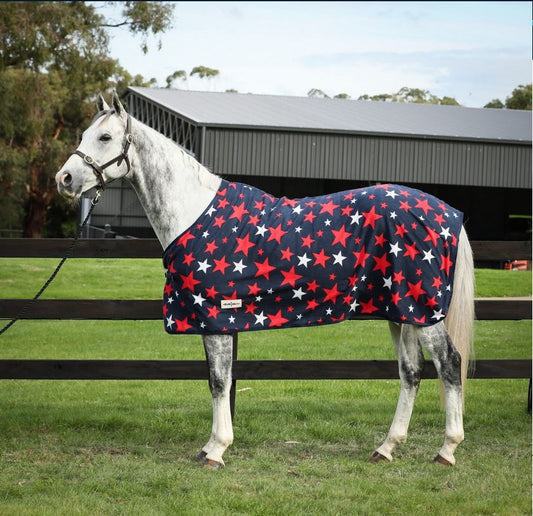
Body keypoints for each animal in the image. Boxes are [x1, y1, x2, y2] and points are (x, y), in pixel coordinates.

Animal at [57, 90, 474, 470]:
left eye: (105, 137)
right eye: (84, 134)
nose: (64, 178)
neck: (196, 212)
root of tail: (446, 213)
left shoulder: (217, 316)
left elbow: (219, 382)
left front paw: (217, 450)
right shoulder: (215, 319)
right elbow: (217, 381)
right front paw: (210, 447)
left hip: (425, 310)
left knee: (449, 364)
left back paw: (447, 450)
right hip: (402, 311)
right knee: (411, 372)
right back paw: (386, 448)